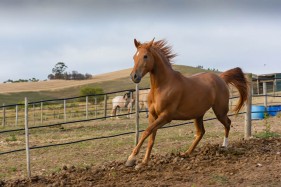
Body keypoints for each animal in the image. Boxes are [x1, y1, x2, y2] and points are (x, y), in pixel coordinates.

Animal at [124, 38, 247, 169]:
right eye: (134, 57)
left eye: (145, 56)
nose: (134, 76)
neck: (162, 86)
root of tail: (221, 78)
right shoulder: (153, 116)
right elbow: (151, 137)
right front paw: (143, 162)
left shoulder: (165, 116)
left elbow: (146, 132)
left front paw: (131, 159)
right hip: (198, 115)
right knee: (201, 132)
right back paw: (186, 153)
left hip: (220, 111)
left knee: (227, 124)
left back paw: (224, 146)